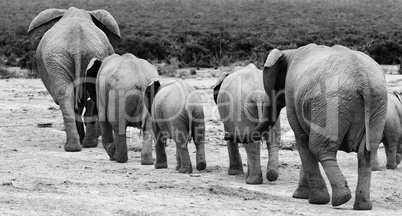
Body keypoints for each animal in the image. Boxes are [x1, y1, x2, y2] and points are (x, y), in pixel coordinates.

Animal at [27, 7, 120, 152]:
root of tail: (77, 46)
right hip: (63, 58)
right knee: (73, 95)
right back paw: (81, 145)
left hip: (63, 58)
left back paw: (79, 145)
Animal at [260, 43, 388, 210]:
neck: (289, 52)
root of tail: (363, 80)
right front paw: (302, 196)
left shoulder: (292, 97)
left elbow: (302, 140)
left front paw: (312, 199)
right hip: (377, 104)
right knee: (367, 151)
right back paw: (363, 206)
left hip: (332, 104)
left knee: (319, 147)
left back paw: (340, 199)